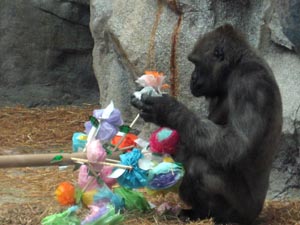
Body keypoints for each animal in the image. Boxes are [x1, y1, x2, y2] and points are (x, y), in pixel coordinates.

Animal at [131, 23, 282, 224]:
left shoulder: (250, 83)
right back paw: (196, 212)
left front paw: (168, 110)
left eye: (196, 63)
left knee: (200, 166)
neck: (234, 68)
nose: (193, 77)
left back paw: (222, 216)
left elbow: (236, 144)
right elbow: (200, 136)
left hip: (248, 212)